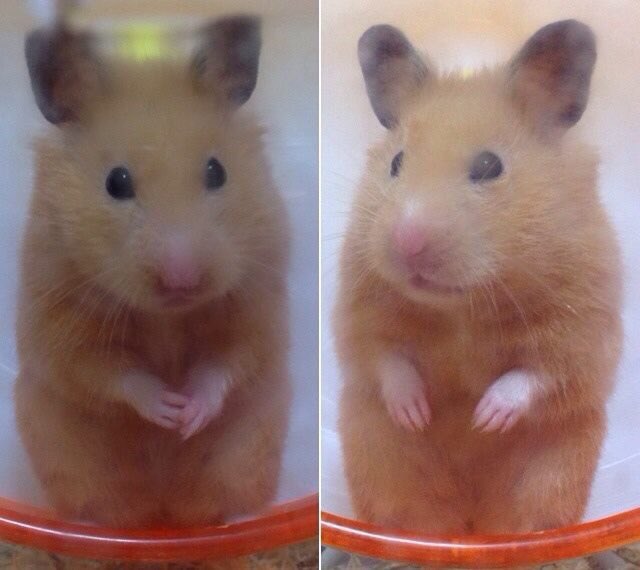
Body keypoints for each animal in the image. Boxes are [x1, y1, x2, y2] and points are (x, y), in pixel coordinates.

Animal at [14, 16, 291, 528]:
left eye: (217, 171)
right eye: (116, 182)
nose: (182, 279)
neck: (168, 315)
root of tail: (163, 510)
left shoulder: (257, 305)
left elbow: (228, 360)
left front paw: (189, 414)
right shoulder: (59, 318)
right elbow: (109, 372)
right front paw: (167, 409)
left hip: (250, 449)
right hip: (61, 450)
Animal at [335, 20, 622, 534]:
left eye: (490, 166)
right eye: (396, 163)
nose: (408, 241)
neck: (460, 308)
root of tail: (469, 524)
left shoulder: (583, 327)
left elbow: (537, 373)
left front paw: (485, 418)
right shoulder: (359, 312)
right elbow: (385, 358)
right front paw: (416, 414)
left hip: (557, 468)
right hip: (377, 456)